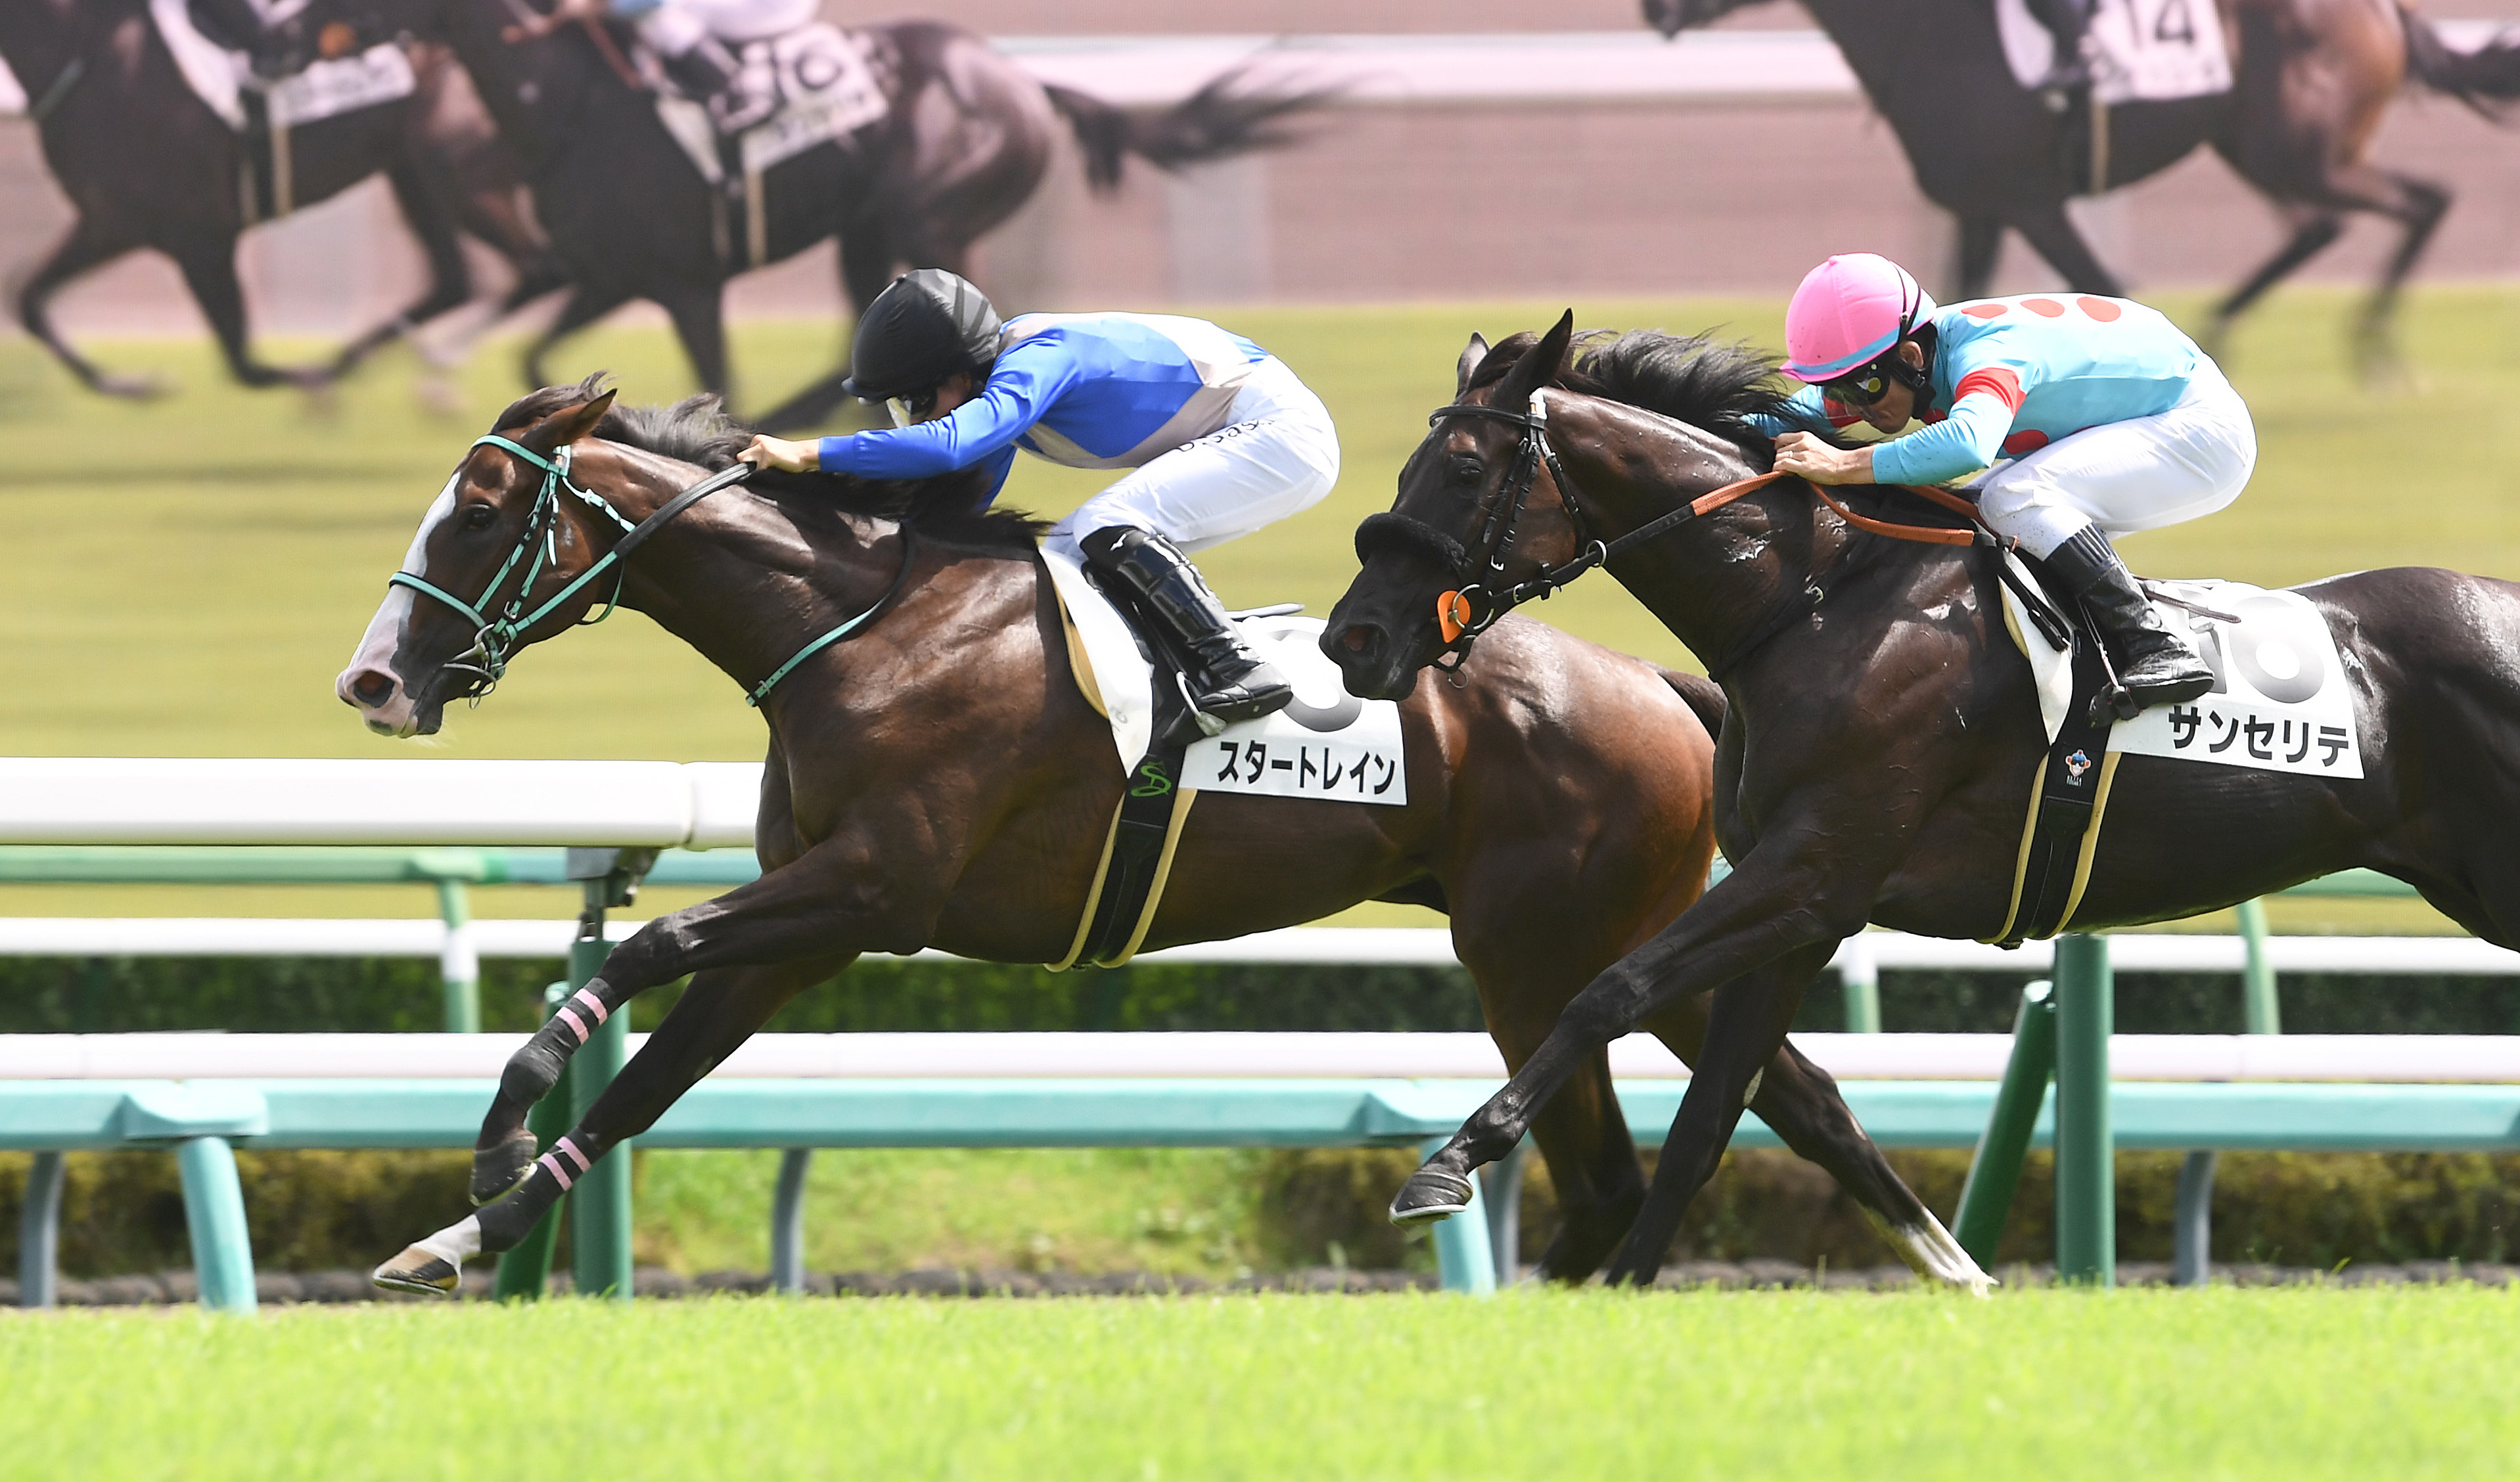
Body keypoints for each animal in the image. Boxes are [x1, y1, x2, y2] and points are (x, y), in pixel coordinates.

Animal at [0, 0, 561, 397]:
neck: (96, 54)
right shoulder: (111, 221)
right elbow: (29, 301)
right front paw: (132, 385)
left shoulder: (201, 233)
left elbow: (245, 365)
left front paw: (308, 383)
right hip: (415, 176)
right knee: (458, 282)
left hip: (460, 175)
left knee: (533, 268)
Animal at [335, 377, 1990, 1293]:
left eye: (477, 509)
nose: (374, 681)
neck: (859, 625)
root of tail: (1651, 677)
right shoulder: (806, 928)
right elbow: (646, 1079)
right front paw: (459, 1237)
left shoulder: (869, 888)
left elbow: (645, 951)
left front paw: (495, 1147)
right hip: (1625, 930)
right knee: (1797, 1096)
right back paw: (1956, 1270)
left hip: (1529, 952)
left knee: (1606, 1170)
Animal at [340, 0, 1328, 431]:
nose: (299, 36)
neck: (564, 106)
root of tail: (1016, 77)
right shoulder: (610, 274)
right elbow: (537, 356)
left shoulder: (683, 281)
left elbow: (708, 371)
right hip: (871, 234)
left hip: (928, 215)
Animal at [1324, 312, 2520, 1284]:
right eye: (1412, 464)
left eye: (1463, 469)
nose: (1354, 639)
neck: (1815, 600)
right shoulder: (1801, 910)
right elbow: (1713, 1118)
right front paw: (1622, 1293)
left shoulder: (1812, 870)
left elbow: (1602, 993)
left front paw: (1447, 1163)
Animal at [1645, 0, 2520, 376]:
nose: (1654, 9)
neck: (1926, 27)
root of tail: (2386, 11)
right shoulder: (1980, 205)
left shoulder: (2030, 202)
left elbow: (2104, 285)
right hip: (2261, 148)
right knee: (2328, 226)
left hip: (2299, 153)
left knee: (2423, 202)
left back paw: (2372, 345)